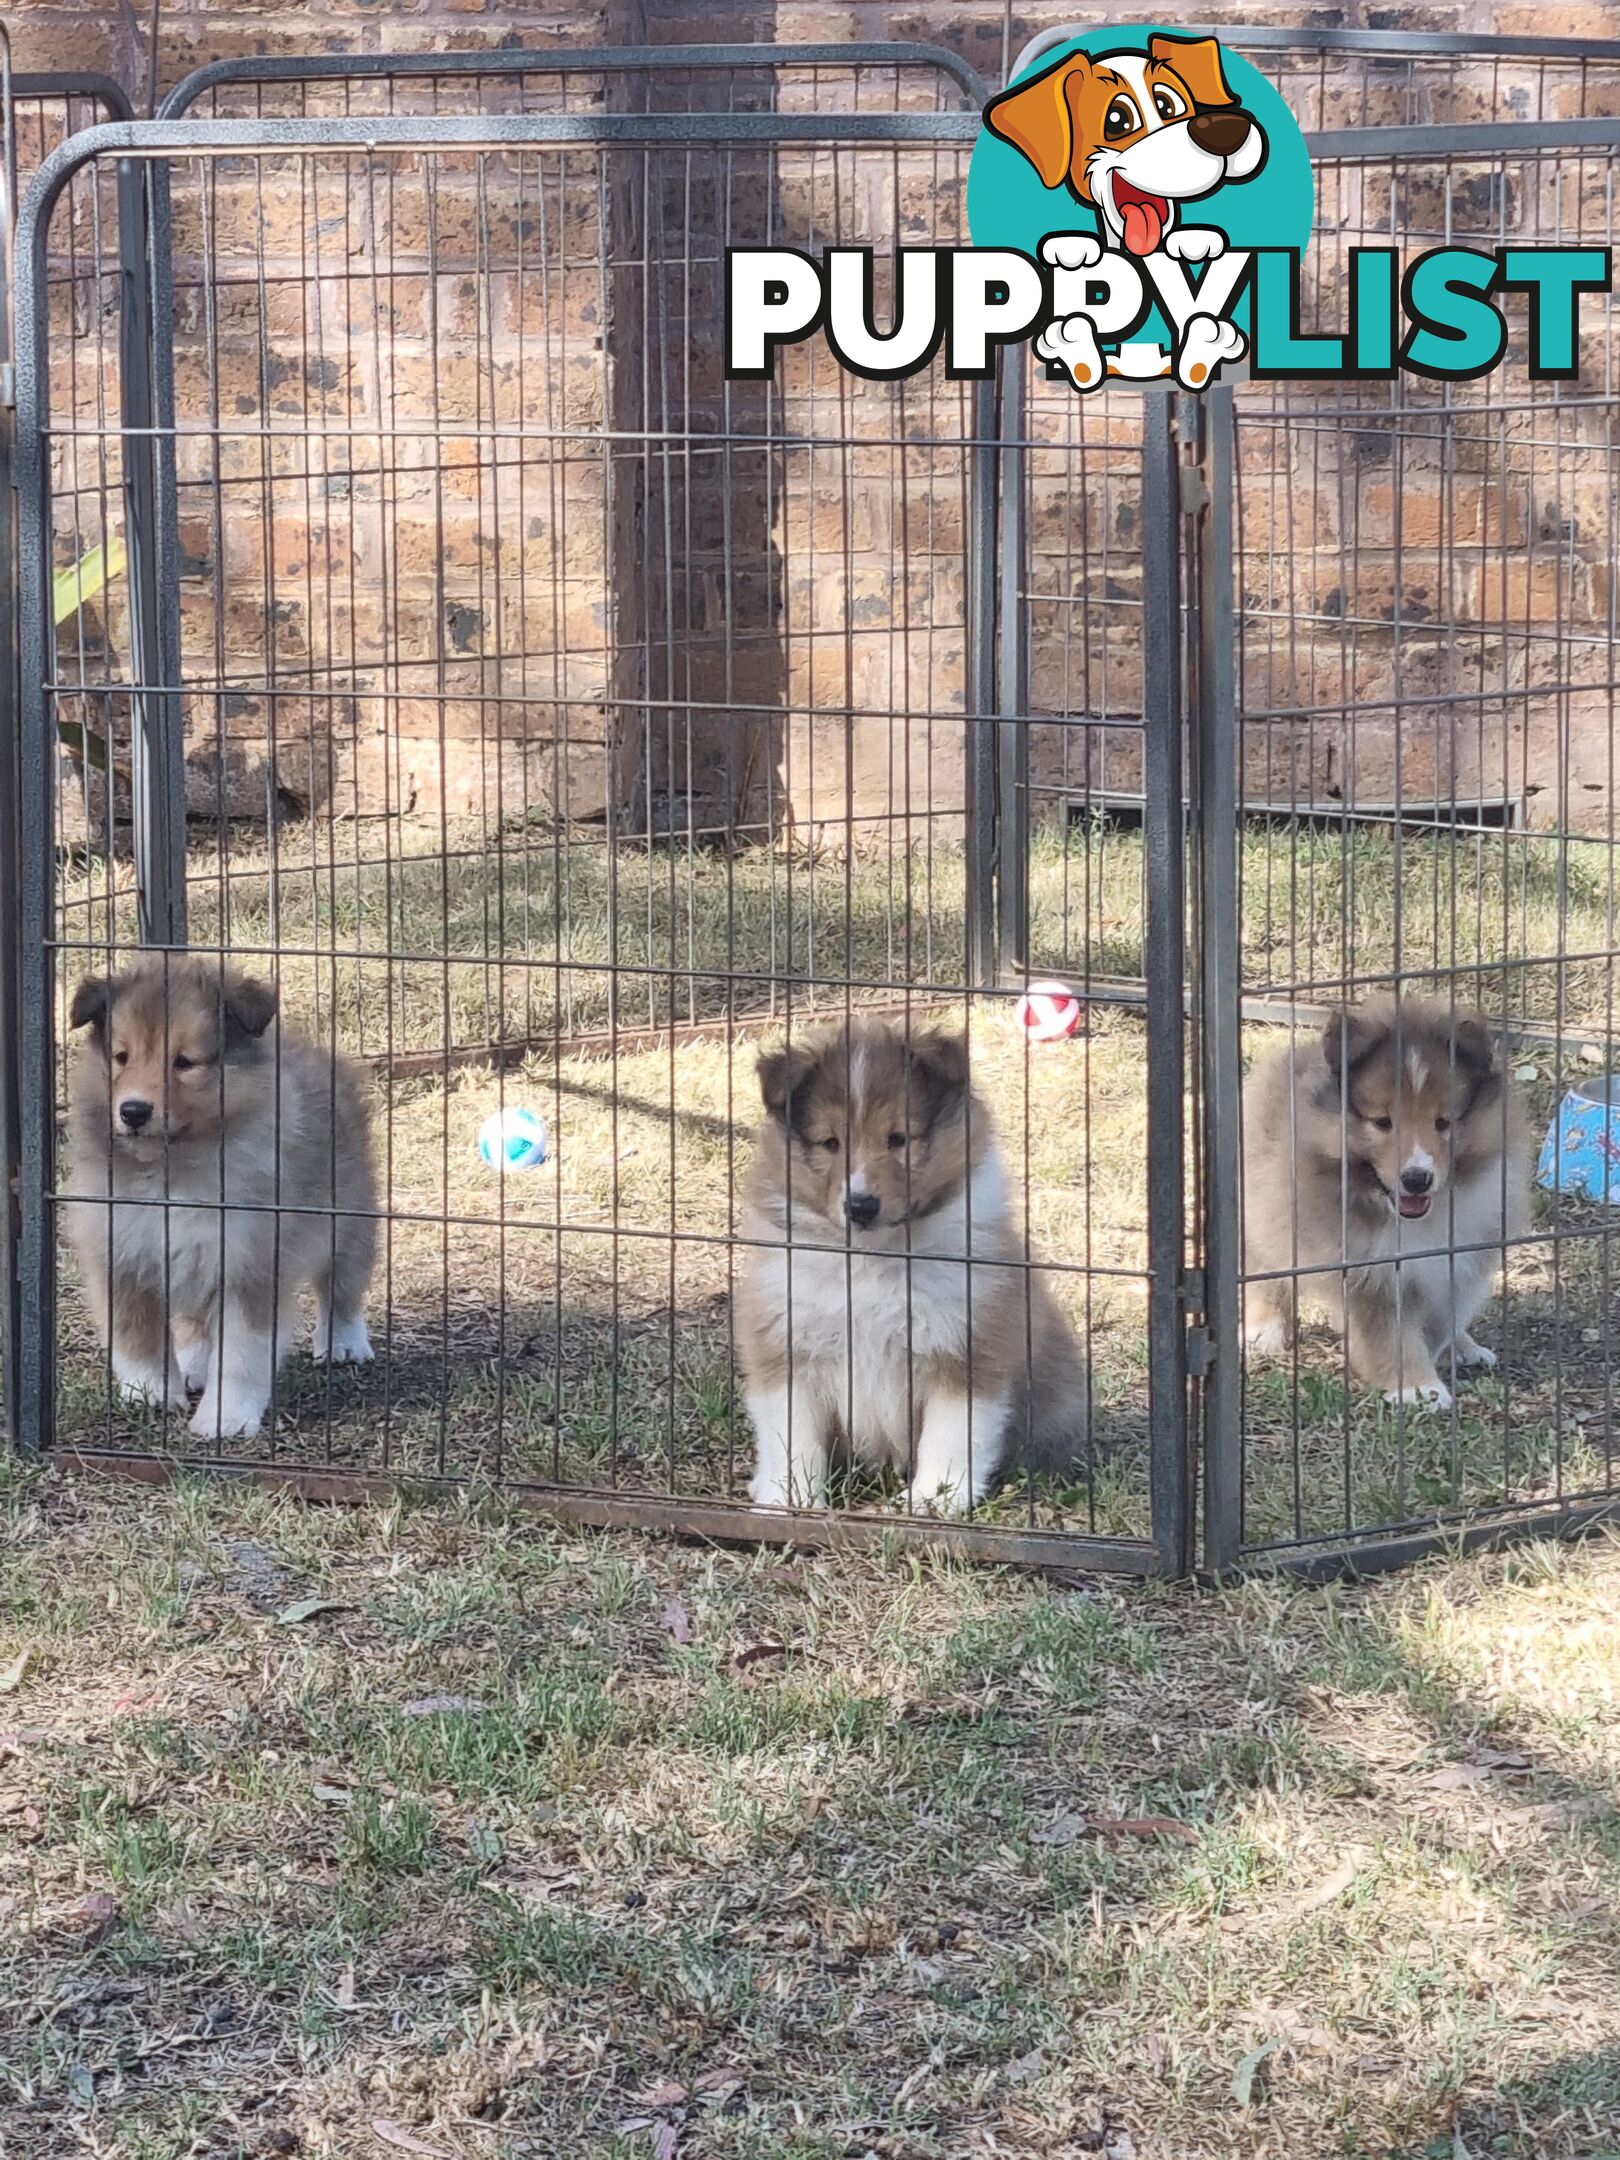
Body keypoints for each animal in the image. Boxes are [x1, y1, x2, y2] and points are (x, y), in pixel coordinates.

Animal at [64, 959, 380, 1434]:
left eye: (185, 1062)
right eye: (121, 1057)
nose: (133, 1111)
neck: (171, 1171)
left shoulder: (249, 1262)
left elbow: (240, 1355)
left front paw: (223, 1421)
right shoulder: (122, 1253)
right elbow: (136, 1340)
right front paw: (150, 1395)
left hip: (349, 1217)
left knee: (341, 1286)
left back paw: (343, 1343)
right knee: (197, 1322)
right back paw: (194, 1364)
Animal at [734, 1015, 1092, 1512]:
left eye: (898, 1139)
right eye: (830, 1143)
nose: (861, 1205)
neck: (872, 1256)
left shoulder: (966, 1346)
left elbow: (952, 1435)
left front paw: (932, 1501)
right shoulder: (786, 1342)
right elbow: (793, 1436)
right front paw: (790, 1499)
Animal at [1252, 997, 1529, 1408]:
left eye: (1443, 1122)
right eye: (1382, 1122)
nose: (1416, 1178)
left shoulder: (1462, 1259)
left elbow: (1441, 1321)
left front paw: (1435, 1365)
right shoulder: (1372, 1272)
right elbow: (1392, 1336)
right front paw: (1419, 1389)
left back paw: (1466, 1348)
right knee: (1264, 1267)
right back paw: (1260, 1330)